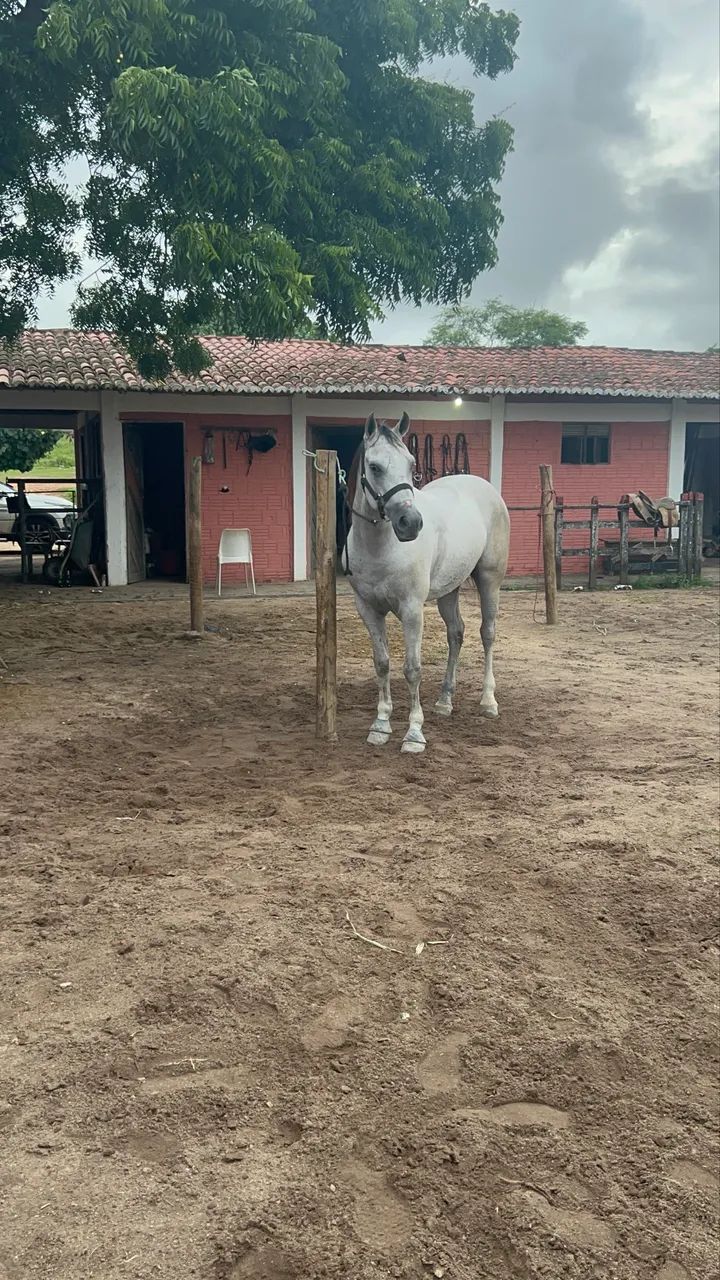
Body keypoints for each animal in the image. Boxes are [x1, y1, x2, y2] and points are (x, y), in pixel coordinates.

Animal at [345, 412, 510, 753]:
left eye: (411, 464)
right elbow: (382, 663)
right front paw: (380, 725)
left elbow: (412, 669)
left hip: (490, 580)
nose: (411, 524)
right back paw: (445, 701)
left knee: (487, 634)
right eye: (374, 467)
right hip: (450, 590)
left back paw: (488, 701)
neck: (380, 548)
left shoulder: (412, 610)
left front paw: (414, 734)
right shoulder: (368, 609)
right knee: (456, 633)